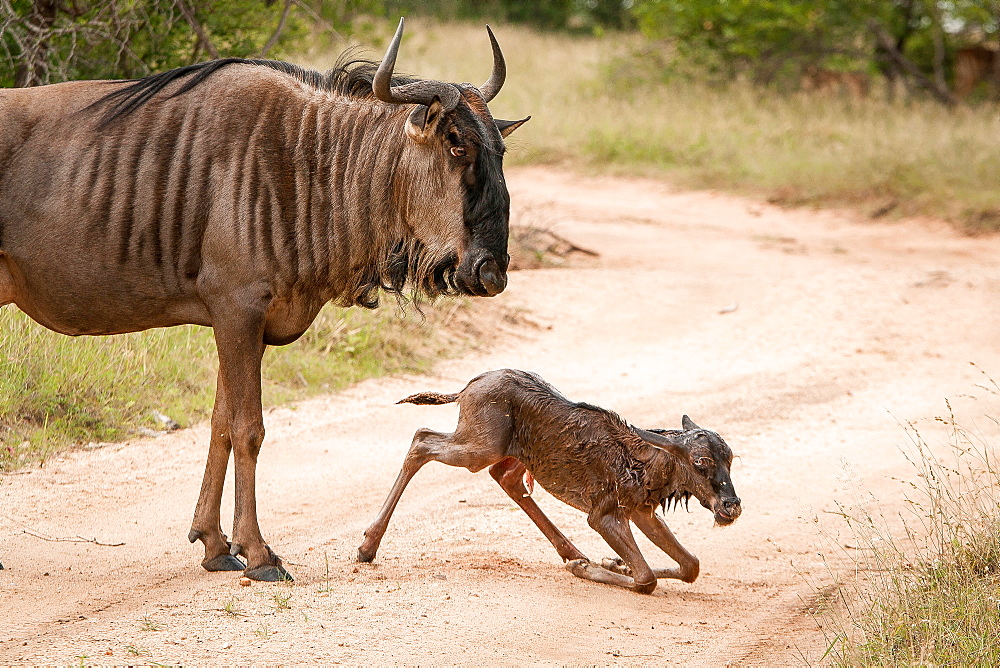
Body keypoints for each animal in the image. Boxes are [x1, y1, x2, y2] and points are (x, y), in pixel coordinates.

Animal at [360, 368, 744, 592]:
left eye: (730, 458)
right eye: (701, 462)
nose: (732, 507)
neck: (653, 468)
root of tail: (468, 387)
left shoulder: (641, 511)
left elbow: (690, 565)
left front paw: (606, 561)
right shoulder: (603, 515)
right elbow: (646, 578)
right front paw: (589, 568)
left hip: (510, 452)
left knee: (504, 477)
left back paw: (572, 551)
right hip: (479, 447)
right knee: (422, 439)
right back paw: (367, 546)